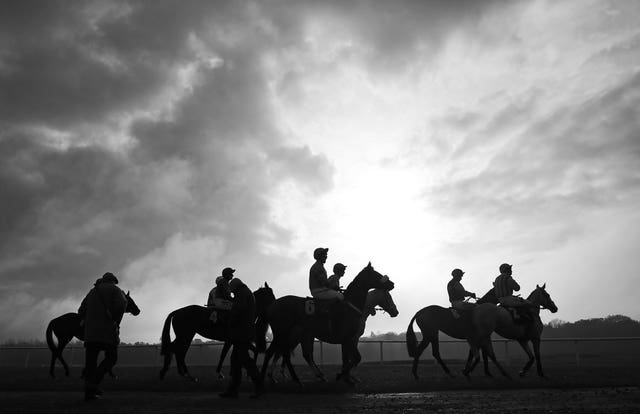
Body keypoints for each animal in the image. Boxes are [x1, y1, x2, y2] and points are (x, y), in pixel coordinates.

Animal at [262, 264, 396, 384]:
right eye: (377, 274)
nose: (392, 284)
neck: (351, 306)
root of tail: (272, 305)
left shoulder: (350, 339)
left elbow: (349, 359)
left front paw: (347, 377)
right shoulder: (349, 338)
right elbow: (354, 358)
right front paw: (343, 376)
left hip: (302, 335)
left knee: (300, 354)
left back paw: (316, 376)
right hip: (283, 333)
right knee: (275, 352)